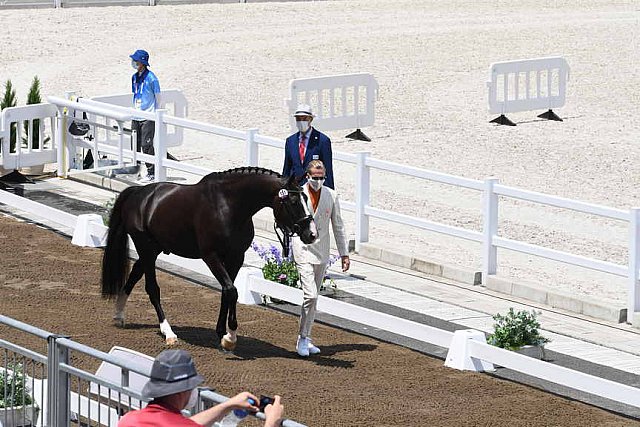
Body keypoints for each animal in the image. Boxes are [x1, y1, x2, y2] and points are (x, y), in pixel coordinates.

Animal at [100, 167, 318, 352]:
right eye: (293, 201)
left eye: (306, 198)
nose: (311, 234)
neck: (228, 206)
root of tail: (138, 192)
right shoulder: (211, 256)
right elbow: (231, 290)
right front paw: (230, 337)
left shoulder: (236, 257)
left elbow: (227, 292)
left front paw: (222, 334)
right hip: (145, 248)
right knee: (152, 288)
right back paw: (168, 332)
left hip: (153, 250)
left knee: (135, 274)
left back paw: (119, 315)